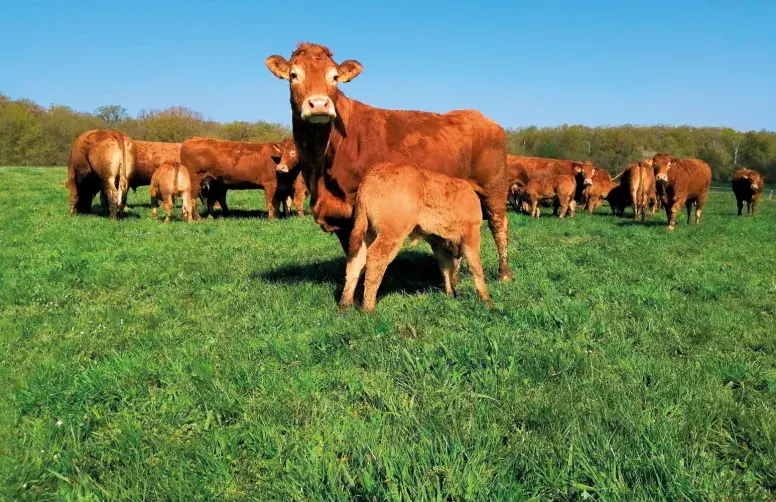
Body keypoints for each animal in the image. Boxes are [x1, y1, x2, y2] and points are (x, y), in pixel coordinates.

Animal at [265, 43, 512, 281]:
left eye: (334, 77)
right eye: (294, 75)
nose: (318, 104)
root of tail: (479, 116)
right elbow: (351, 252)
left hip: (495, 189)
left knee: (499, 226)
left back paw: (504, 274)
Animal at [338, 163, 491, 312]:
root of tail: (374, 172)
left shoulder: (438, 244)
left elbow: (446, 268)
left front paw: (451, 294)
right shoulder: (471, 232)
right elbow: (475, 266)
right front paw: (486, 300)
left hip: (367, 232)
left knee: (356, 260)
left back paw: (344, 305)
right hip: (391, 234)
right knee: (376, 259)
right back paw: (368, 308)